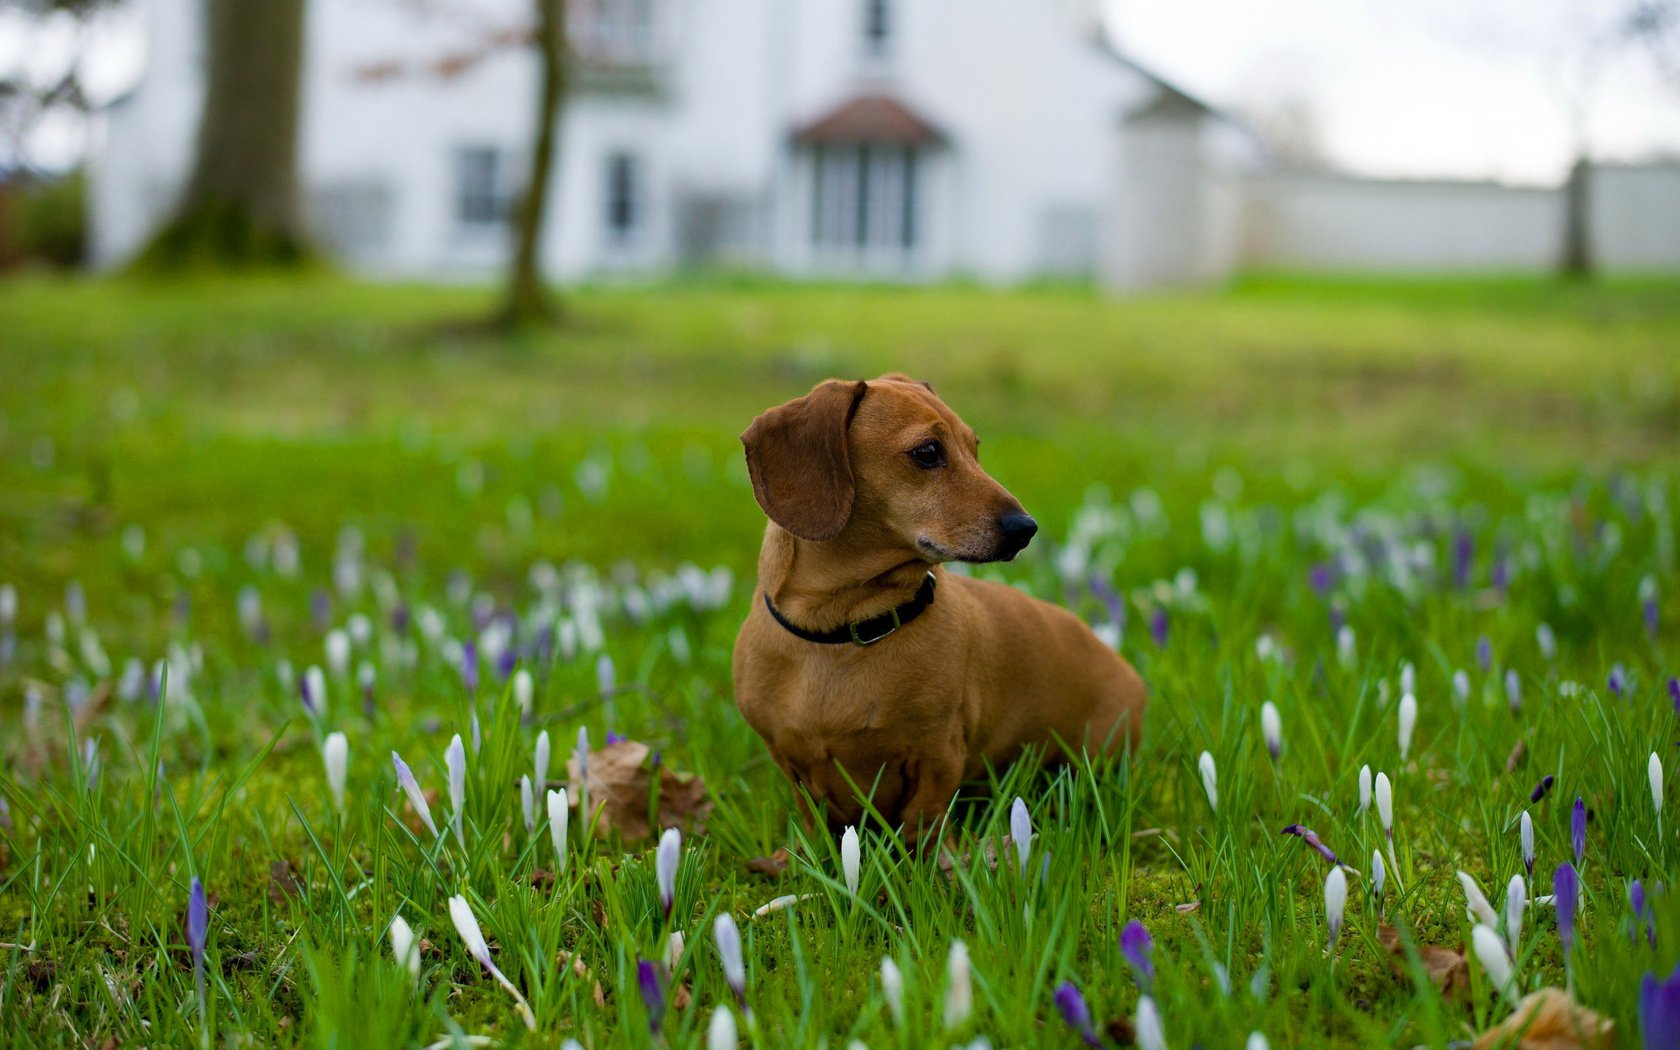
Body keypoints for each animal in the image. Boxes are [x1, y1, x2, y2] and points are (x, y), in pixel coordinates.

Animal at [729, 374, 1149, 843]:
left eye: (974, 446)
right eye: (928, 452)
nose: (1025, 529)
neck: (844, 632)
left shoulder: (936, 757)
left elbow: (922, 825)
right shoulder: (792, 763)